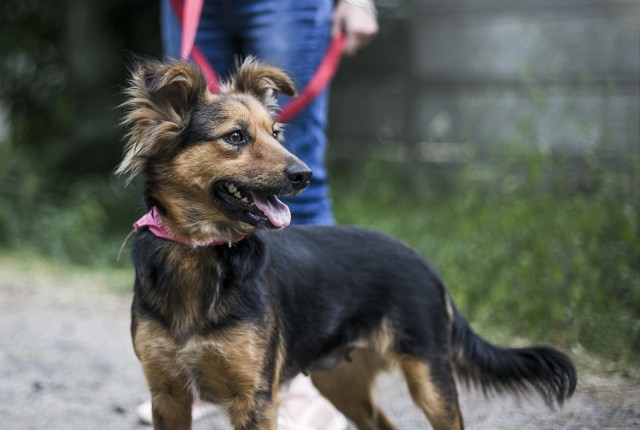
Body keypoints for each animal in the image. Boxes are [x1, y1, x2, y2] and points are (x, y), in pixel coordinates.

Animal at [117, 58, 576, 430]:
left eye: (276, 133)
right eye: (235, 137)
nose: (302, 174)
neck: (199, 250)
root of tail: (425, 263)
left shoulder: (255, 399)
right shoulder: (168, 395)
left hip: (430, 380)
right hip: (340, 378)